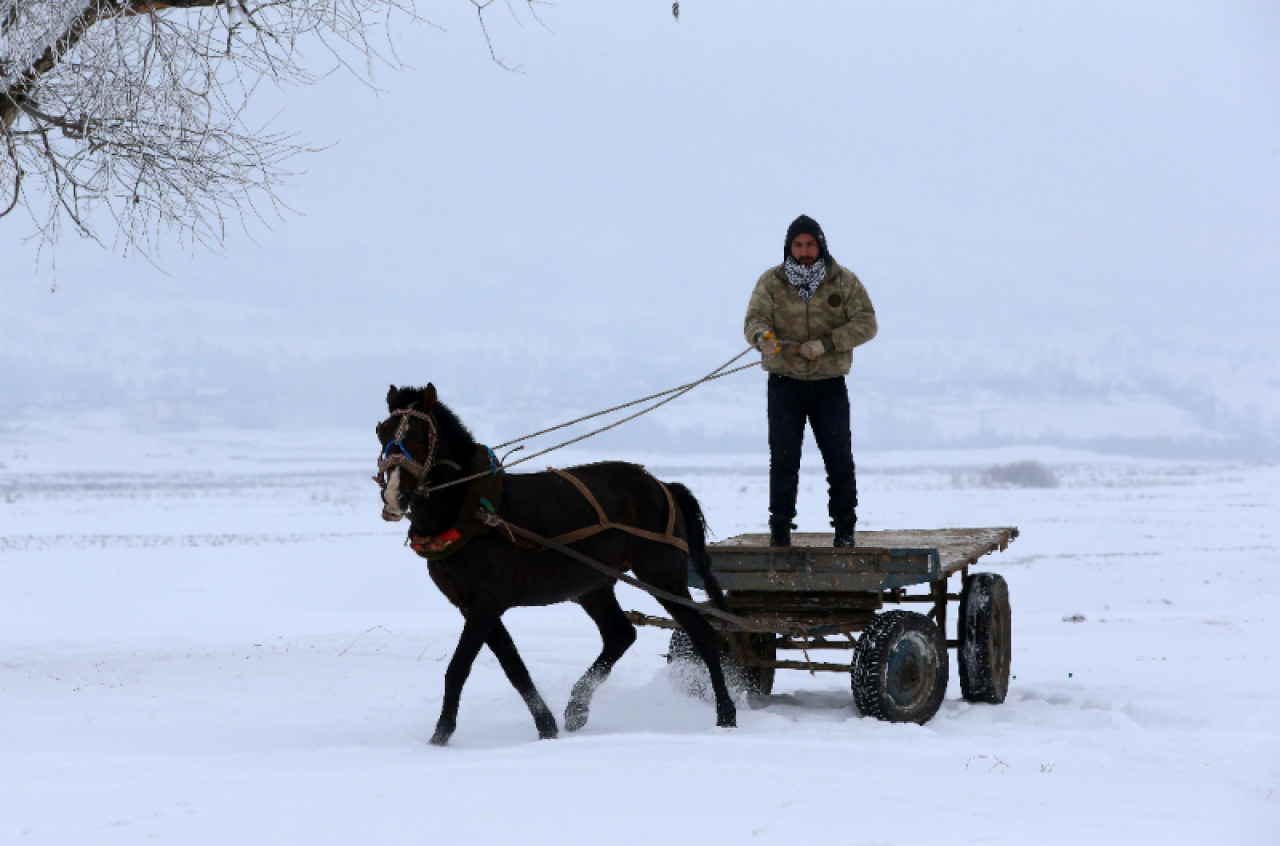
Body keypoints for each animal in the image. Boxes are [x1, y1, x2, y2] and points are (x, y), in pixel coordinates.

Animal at [373, 383, 737, 747]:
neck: (470, 509)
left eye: (419, 436)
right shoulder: (474, 607)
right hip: (594, 586)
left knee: (703, 635)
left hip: (661, 576)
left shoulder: (485, 604)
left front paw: (441, 734)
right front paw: (546, 726)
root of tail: (664, 486)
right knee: (621, 634)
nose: (393, 497)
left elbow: (459, 668)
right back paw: (577, 708)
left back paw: (726, 714)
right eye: (382, 431)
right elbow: (515, 668)